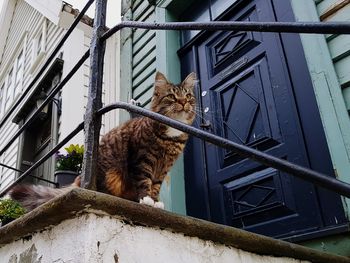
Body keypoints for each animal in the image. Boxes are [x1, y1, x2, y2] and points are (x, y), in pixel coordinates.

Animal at [9, 71, 197, 211]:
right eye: (172, 96)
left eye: (188, 96)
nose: (183, 102)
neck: (171, 135)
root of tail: (77, 182)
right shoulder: (142, 159)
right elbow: (145, 181)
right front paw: (146, 199)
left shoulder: (164, 167)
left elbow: (156, 186)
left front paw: (155, 201)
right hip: (110, 174)